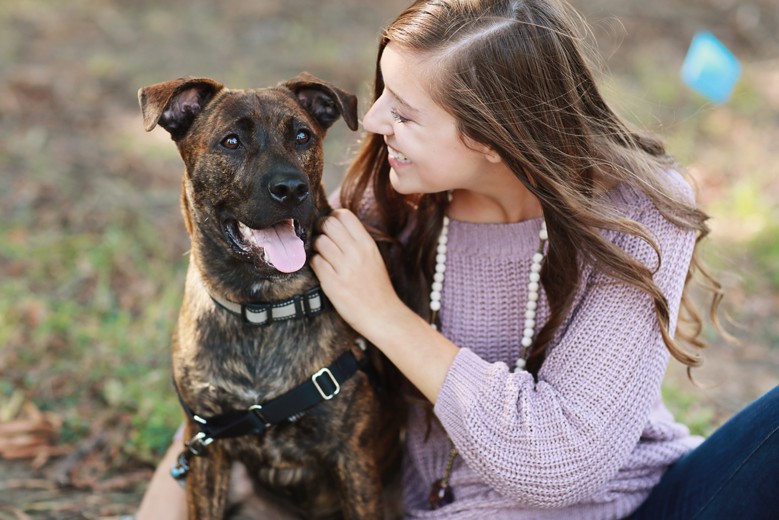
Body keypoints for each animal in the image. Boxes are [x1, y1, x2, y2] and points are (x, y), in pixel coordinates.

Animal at [137, 74, 400, 520]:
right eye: (231, 142)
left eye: (302, 136)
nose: (291, 188)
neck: (263, 308)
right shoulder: (208, 447)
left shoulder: (352, 457)